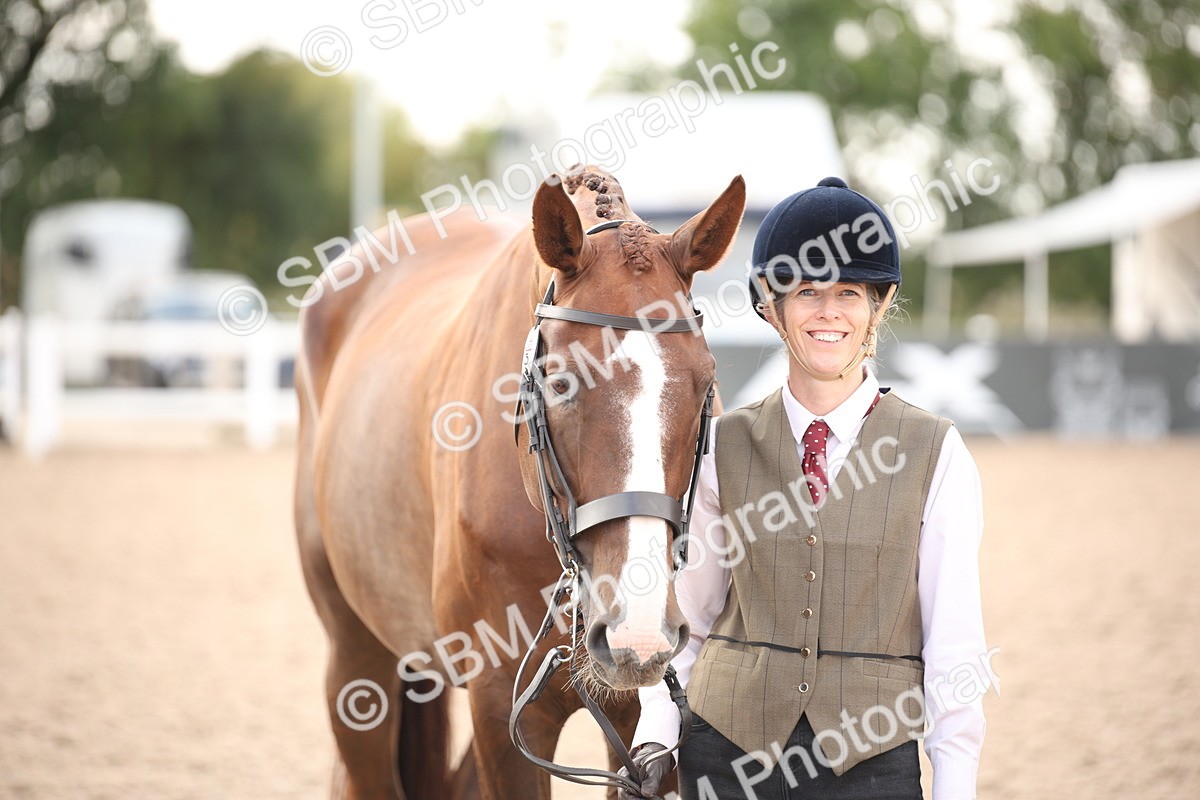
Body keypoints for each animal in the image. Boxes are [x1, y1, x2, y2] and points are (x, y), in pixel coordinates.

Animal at [294, 165, 745, 799]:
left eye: (706, 382)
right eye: (558, 382)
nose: (638, 630)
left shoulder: (642, 721)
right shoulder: (499, 710)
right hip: (356, 665)